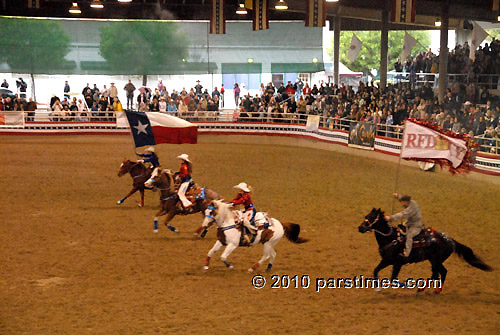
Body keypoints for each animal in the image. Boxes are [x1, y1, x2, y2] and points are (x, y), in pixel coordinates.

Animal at [360, 209, 492, 292]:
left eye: (372, 218)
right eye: (366, 216)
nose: (360, 228)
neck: (391, 238)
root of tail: (451, 240)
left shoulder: (397, 262)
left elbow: (393, 278)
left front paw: (406, 286)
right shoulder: (386, 260)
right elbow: (376, 270)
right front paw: (377, 288)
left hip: (436, 261)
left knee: (440, 273)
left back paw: (433, 289)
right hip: (434, 261)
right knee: (438, 273)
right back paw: (425, 289)